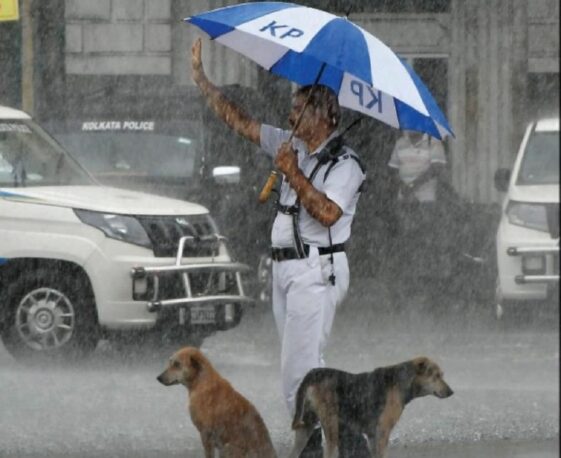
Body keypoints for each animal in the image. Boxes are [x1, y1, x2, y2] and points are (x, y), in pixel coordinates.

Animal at [288, 358, 450, 458]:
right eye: (436, 376)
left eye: (441, 375)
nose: (451, 392)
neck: (401, 382)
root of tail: (313, 372)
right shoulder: (383, 433)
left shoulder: (373, 436)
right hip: (331, 427)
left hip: (306, 426)